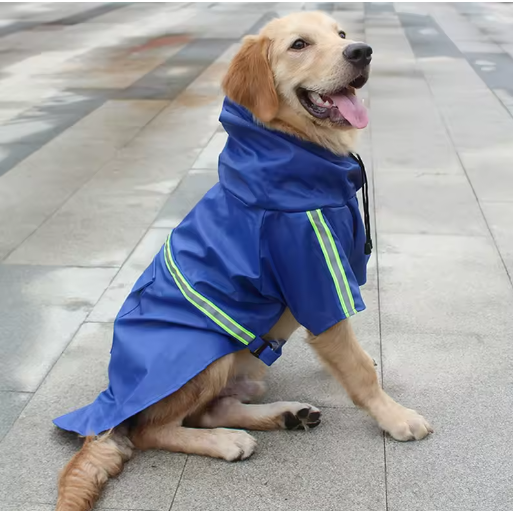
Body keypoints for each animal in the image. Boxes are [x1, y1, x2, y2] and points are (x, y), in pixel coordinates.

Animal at [55, 12, 432, 511]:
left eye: (342, 35)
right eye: (299, 44)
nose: (362, 52)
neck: (295, 155)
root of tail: (111, 399)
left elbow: (356, 358)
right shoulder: (316, 278)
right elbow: (357, 370)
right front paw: (396, 417)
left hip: (249, 372)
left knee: (214, 409)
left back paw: (287, 415)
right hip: (206, 354)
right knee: (152, 430)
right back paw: (227, 441)